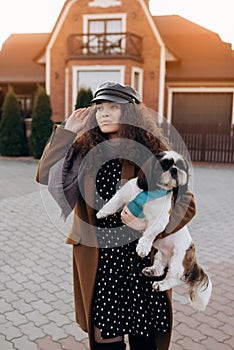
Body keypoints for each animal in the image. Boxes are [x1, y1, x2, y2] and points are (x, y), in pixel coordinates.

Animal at [97, 151, 212, 312]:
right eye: (164, 165)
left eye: (181, 166)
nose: (174, 170)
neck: (151, 191)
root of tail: (192, 252)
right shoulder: (125, 193)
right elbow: (113, 202)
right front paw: (102, 212)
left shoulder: (161, 220)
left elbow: (149, 232)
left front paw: (143, 246)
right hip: (160, 254)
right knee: (160, 268)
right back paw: (151, 270)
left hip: (178, 259)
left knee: (172, 278)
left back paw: (161, 285)